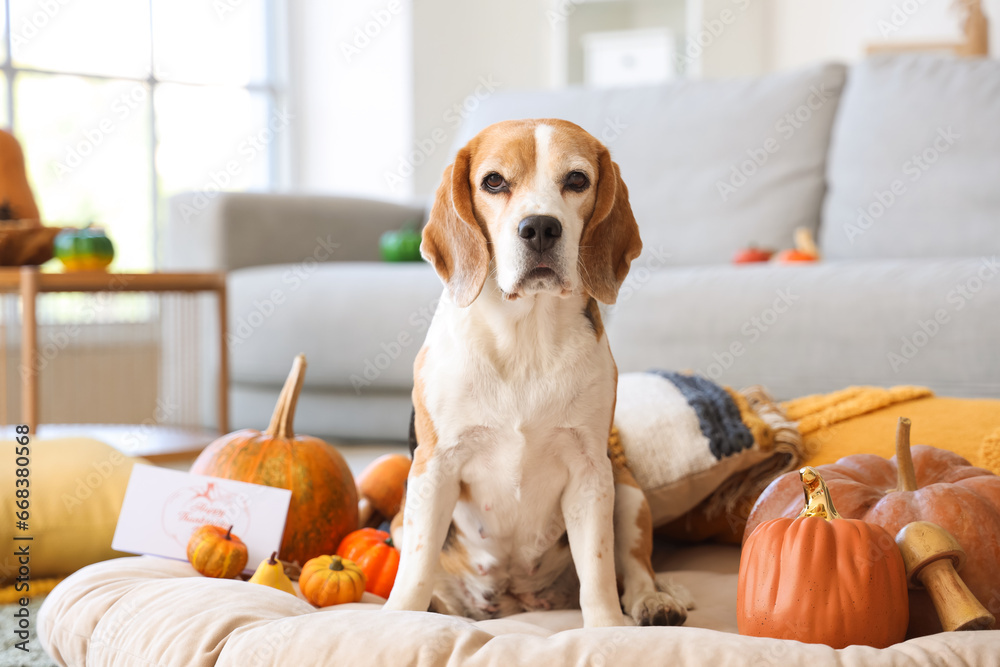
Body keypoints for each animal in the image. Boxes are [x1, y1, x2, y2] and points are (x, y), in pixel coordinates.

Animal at [386, 118, 692, 628]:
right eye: (493, 181)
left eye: (577, 180)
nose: (541, 227)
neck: (524, 337)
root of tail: (517, 600)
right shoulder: (434, 466)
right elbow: (417, 565)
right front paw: (396, 620)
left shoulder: (590, 471)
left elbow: (598, 571)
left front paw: (608, 630)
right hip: (396, 519)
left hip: (627, 491)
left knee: (635, 568)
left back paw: (653, 602)